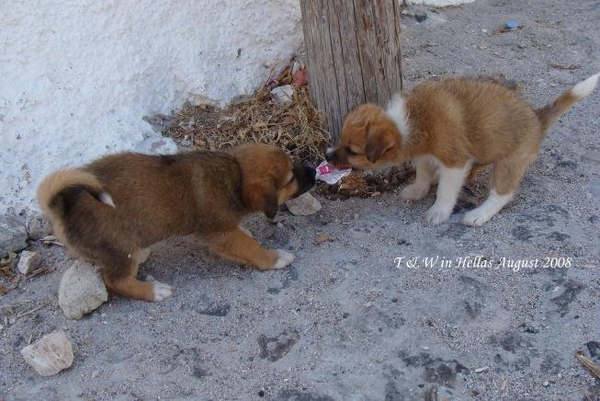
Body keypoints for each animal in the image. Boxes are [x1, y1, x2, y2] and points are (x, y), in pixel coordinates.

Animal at [38, 144, 316, 300]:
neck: (234, 176)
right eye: (290, 178)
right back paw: (153, 291)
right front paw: (274, 258)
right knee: (117, 281)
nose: (314, 170)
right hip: (119, 247)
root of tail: (63, 208)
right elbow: (250, 249)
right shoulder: (221, 235)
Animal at [328, 73, 600, 225]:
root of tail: (537, 117)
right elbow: (423, 174)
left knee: (502, 194)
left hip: (508, 163)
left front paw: (438, 212)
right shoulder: (425, 155)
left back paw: (478, 215)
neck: (410, 121)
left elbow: (446, 192)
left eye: (353, 151)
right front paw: (418, 190)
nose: (327, 155)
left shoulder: (454, 162)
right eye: (341, 140)